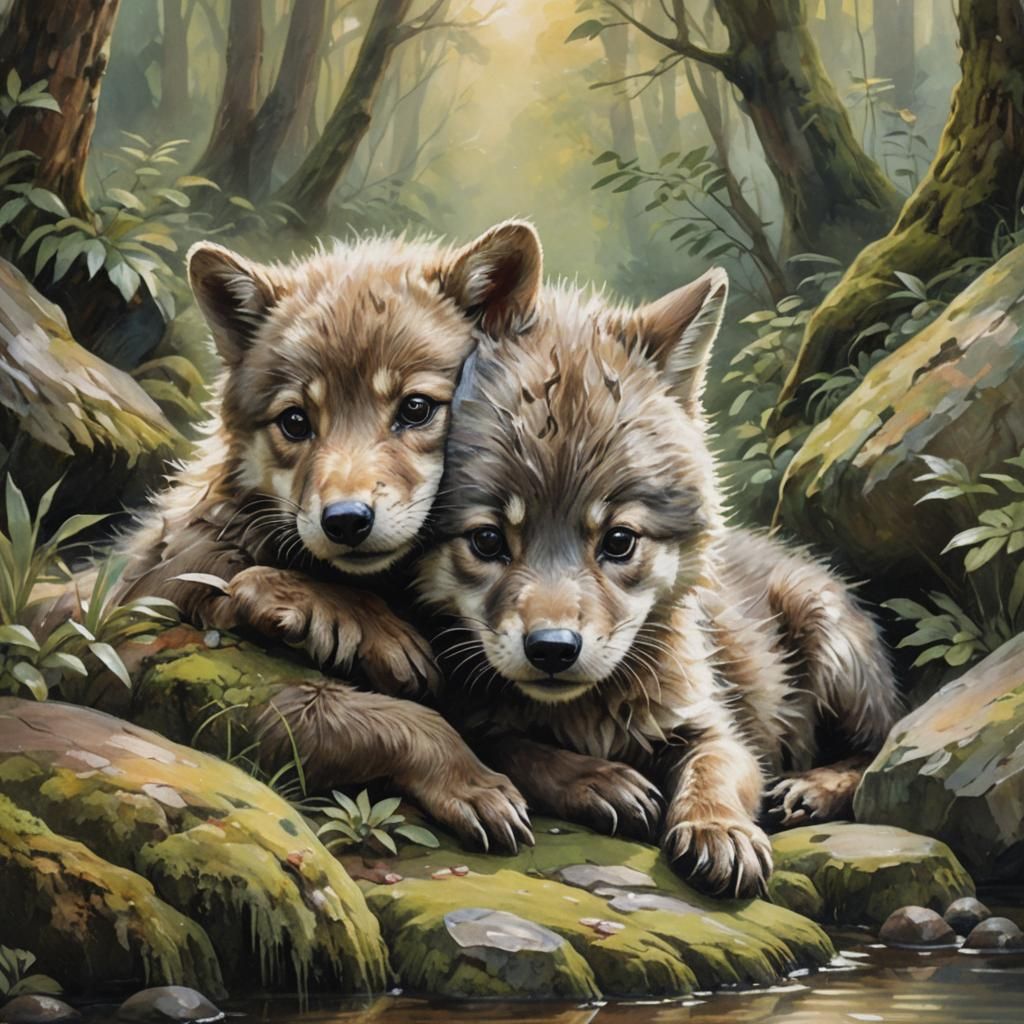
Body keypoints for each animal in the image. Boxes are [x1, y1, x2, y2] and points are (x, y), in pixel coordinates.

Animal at [100, 222, 543, 851]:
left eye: (415, 409)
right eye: (295, 422)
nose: (346, 520)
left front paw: (601, 780)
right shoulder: (144, 618)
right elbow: (399, 716)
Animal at [418, 269, 901, 896]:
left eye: (619, 541)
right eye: (487, 540)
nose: (552, 650)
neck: (588, 712)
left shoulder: (714, 725)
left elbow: (716, 770)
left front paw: (718, 830)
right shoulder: (473, 717)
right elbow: (518, 748)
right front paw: (600, 780)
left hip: (829, 639)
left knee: (877, 747)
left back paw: (810, 789)